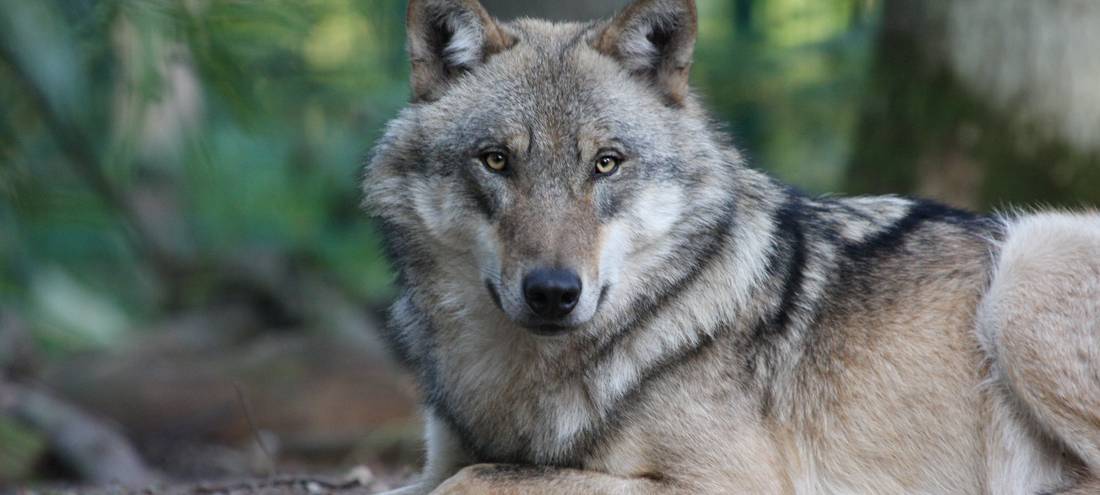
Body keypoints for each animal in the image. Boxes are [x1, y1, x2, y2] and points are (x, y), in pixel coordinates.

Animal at [362, 0, 1100, 493]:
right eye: (496, 161)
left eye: (606, 163)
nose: (552, 292)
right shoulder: (437, 459)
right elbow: (450, 476)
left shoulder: (732, 481)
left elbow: (482, 477)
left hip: (1027, 271)